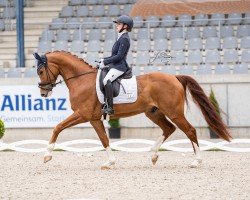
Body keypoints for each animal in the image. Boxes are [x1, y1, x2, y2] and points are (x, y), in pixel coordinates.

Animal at [33, 51, 232, 169]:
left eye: (41, 71)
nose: (43, 92)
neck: (81, 80)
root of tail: (174, 77)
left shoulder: (83, 114)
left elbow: (58, 127)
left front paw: (47, 156)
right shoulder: (94, 118)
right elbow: (104, 139)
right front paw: (110, 162)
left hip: (174, 112)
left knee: (189, 130)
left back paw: (196, 161)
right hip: (153, 112)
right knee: (169, 129)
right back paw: (153, 155)